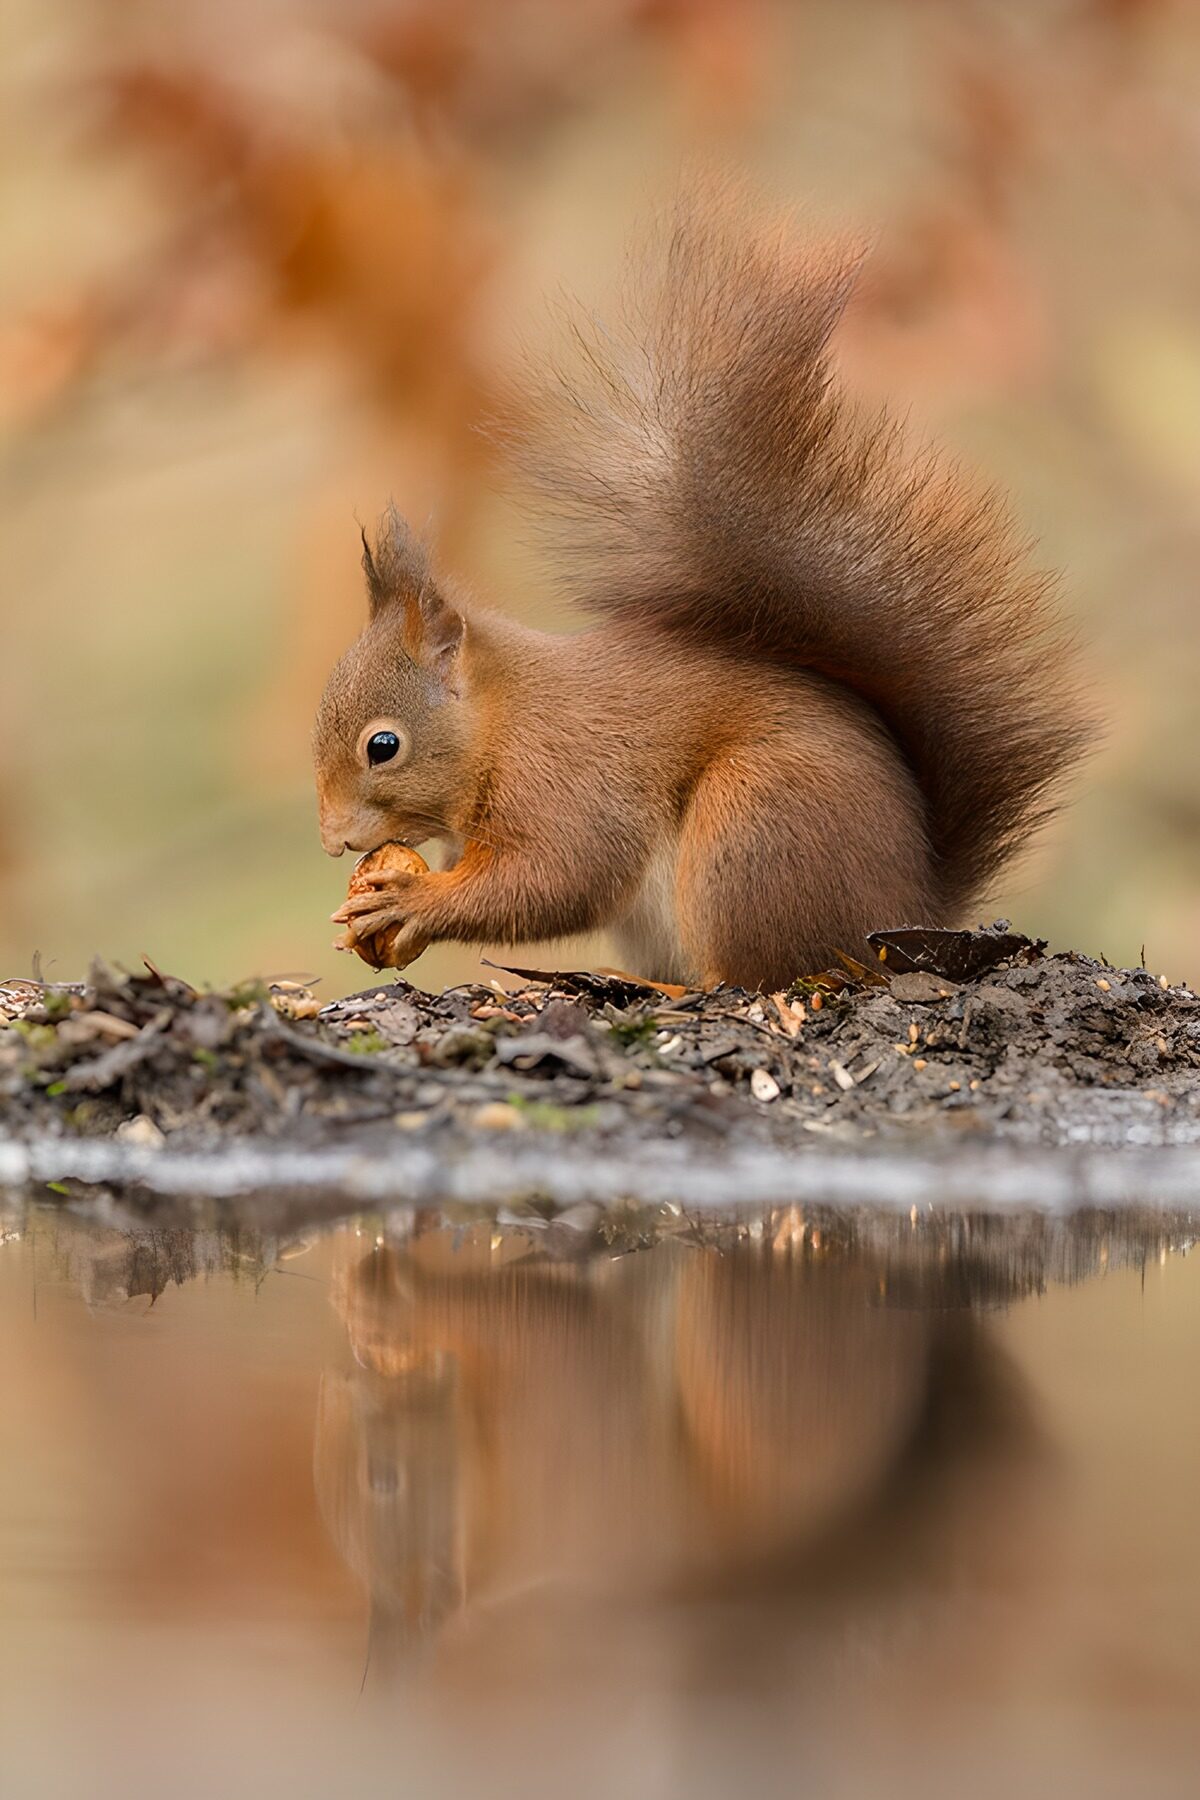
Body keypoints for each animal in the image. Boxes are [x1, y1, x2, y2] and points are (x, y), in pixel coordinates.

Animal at [315, 199, 1089, 992]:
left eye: (383, 746)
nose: (332, 838)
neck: (501, 722)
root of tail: (905, 910)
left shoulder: (566, 780)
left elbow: (556, 879)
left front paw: (411, 901)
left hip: (751, 830)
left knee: (758, 973)